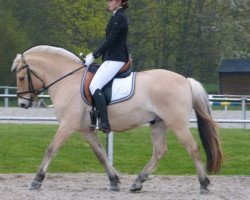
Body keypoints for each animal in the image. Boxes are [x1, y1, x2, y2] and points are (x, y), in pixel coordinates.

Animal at [11, 45, 223, 194]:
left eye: (21, 78)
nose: (22, 103)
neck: (67, 80)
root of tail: (186, 80)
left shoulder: (67, 125)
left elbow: (51, 149)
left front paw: (37, 180)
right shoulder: (85, 130)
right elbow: (101, 155)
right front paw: (114, 181)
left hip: (177, 123)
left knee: (192, 148)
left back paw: (204, 184)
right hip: (158, 123)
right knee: (159, 151)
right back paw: (138, 182)